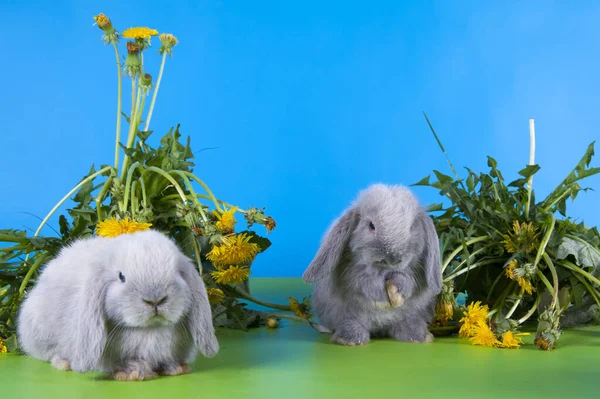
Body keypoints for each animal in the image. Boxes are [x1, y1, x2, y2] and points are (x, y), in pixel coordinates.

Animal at [17, 230, 220, 380]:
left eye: (178, 273)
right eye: (121, 277)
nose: (155, 299)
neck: (150, 329)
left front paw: (176, 368)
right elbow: (118, 364)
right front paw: (134, 371)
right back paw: (64, 363)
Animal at [304, 184, 440, 346]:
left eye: (412, 227)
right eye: (371, 225)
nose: (392, 257)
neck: (384, 270)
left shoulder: (416, 272)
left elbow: (408, 281)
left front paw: (396, 291)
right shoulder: (351, 273)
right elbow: (362, 281)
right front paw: (382, 296)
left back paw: (418, 336)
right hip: (345, 314)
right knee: (350, 322)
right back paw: (350, 340)